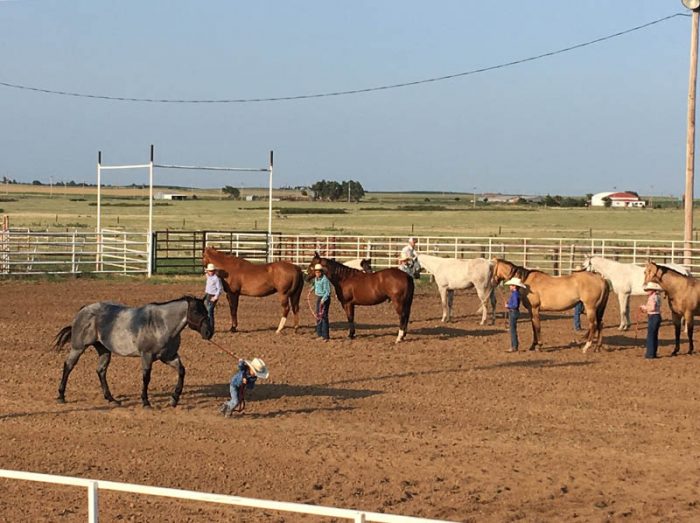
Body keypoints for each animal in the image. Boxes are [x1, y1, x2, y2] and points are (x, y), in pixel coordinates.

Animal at [54, 294, 213, 410]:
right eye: (195, 311)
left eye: (206, 311)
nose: (208, 333)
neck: (161, 324)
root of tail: (84, 310)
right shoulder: (146, 356)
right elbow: (146, 378)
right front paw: (146, 402)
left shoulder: (168, 357)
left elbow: (181, 371)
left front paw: (174, 399)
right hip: (78, 348)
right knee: (68, 366)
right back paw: (61, 396)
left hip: (104, 350)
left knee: (101, 371)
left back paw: (111, 399)